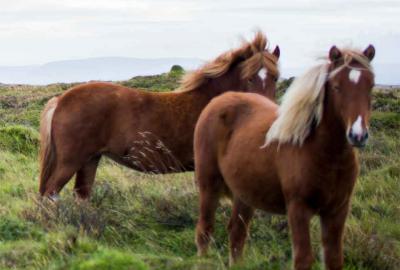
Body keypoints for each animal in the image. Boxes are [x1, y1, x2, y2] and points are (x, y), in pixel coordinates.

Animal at [39, 32, 280, 200]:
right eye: (249, 78)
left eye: (276, 77)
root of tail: (61, 100)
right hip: (70, 161)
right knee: (50, 193)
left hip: (90, 159)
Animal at [194, 45, 376, 268]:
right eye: (336, 86)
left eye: (371, 85)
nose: (358, 135)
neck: (328, 157)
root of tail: (217, 101)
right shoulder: (298, 209)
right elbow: (303, 258)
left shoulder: (337, 211)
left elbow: (334, 259)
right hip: (209, 185)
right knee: (205, 230)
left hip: (244, 195)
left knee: (237, 233)